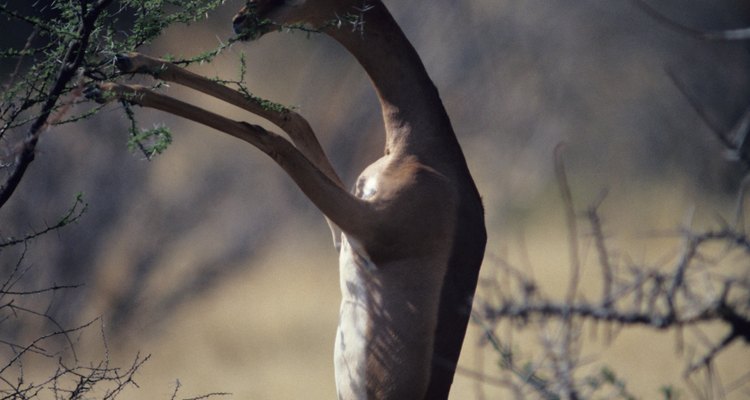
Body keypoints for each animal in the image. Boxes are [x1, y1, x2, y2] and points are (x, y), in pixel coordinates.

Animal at [86, 0, 488, 396]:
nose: (241, 20)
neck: (424, 153)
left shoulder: (366, 227)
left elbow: (269, 138)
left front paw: (117, 86)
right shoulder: (343, 231)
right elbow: (293, 119)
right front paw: (124, 64)